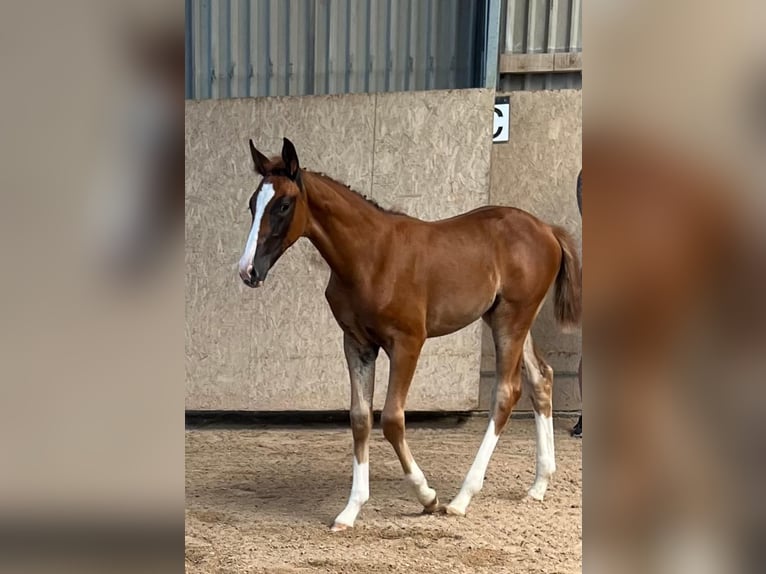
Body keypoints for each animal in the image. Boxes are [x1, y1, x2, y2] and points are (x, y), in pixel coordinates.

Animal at [240, 138, 584, 532]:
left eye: (283, 204)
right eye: (252, 203)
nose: (248, 270)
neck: (370, 257)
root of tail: (548, 229)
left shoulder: (408, 342)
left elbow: (391, 418)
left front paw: (427, 496)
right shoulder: (357, 344)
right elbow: (360, 418)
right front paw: (350, 510)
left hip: (511, 319)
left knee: (507, 392)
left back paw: (461, 498)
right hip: (508, 318)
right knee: (541, 378)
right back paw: (538, 485)